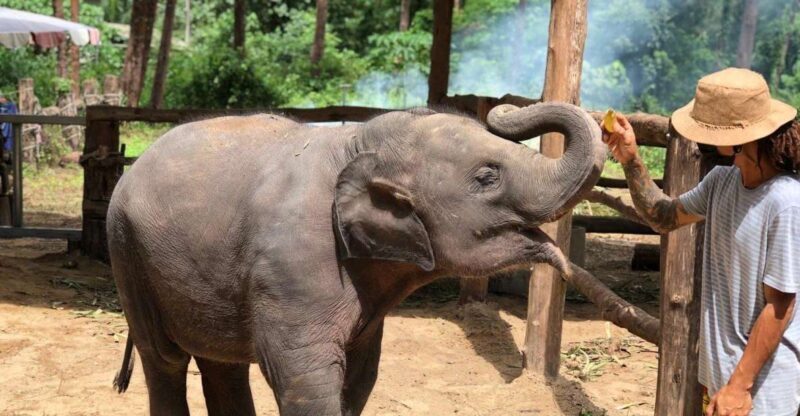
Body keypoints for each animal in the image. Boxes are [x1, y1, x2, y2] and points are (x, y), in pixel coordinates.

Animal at [107, 102, 606, 416]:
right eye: (487, 177)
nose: (502, 111)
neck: (356, 140)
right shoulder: (290, 268)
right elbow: (305, 379)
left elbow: (362, 377)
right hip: (126, 253)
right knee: (165, 360)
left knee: (221, 364)